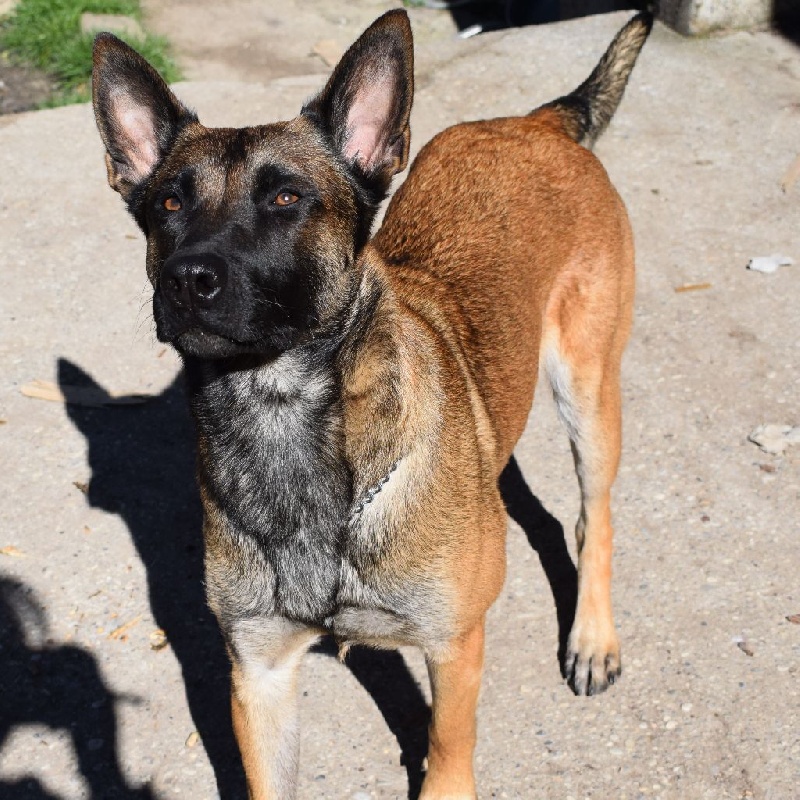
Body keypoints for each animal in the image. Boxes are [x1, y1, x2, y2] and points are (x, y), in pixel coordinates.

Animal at [92, 10, 651, 798]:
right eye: (169, 203)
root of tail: (536, 123)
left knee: (591, 516)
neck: (284, 419)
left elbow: (447, 751)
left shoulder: (452, 648)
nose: (186, 278)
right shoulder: (259, 672)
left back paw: (593, 637)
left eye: (286, 198)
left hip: (589, 388)